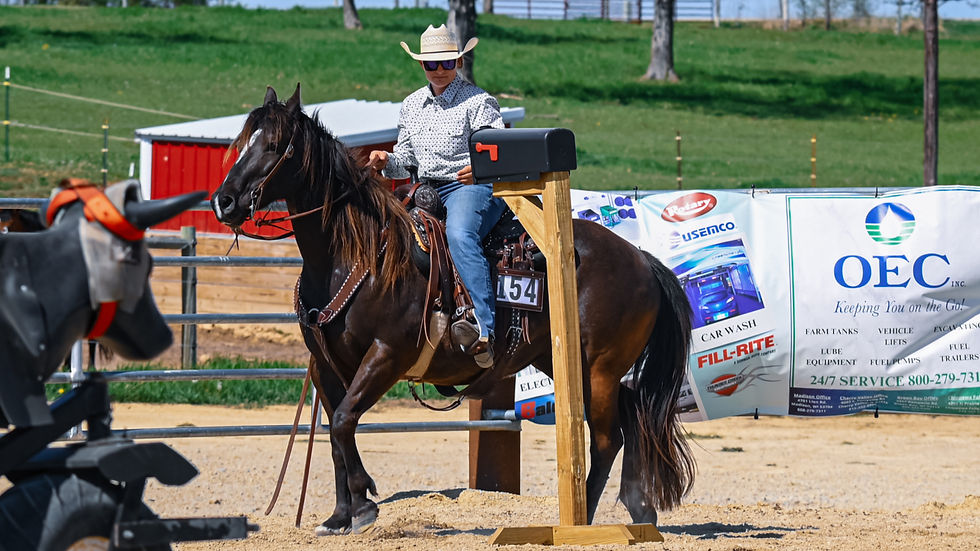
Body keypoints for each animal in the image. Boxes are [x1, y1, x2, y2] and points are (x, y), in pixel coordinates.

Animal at [210, 84, 696, 536]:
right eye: (244, 140)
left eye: (275, 144)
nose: (224, 201)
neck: (353, 256)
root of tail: (640, 259)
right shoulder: (328, 365)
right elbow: (335, 433)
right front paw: (339, 516)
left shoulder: (386, 354)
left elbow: (346, 421)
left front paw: (365, 504)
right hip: (566, 362)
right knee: (632, 416)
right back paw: (640, 509)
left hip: (599, 368)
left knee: (607, 439)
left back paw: (589, 520)